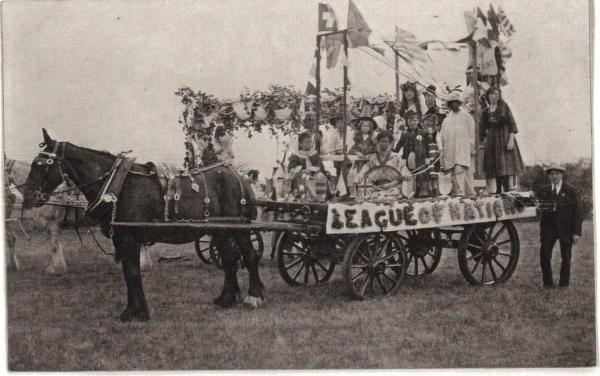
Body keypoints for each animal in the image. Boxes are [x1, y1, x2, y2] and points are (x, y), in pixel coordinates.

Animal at [22, 131, 264, 322]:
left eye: (40, 165)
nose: (27, 198)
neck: (116, 184)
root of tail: (238, 176)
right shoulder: (121, 239)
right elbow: (129, 273)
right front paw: (133, 310)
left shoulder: (128, 238)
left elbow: (132, 273)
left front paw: (137, 313)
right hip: (220, 231)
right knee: (230, 260)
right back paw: (226, 299)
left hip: (239, 229)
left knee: (249, 256)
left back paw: (253, 297)